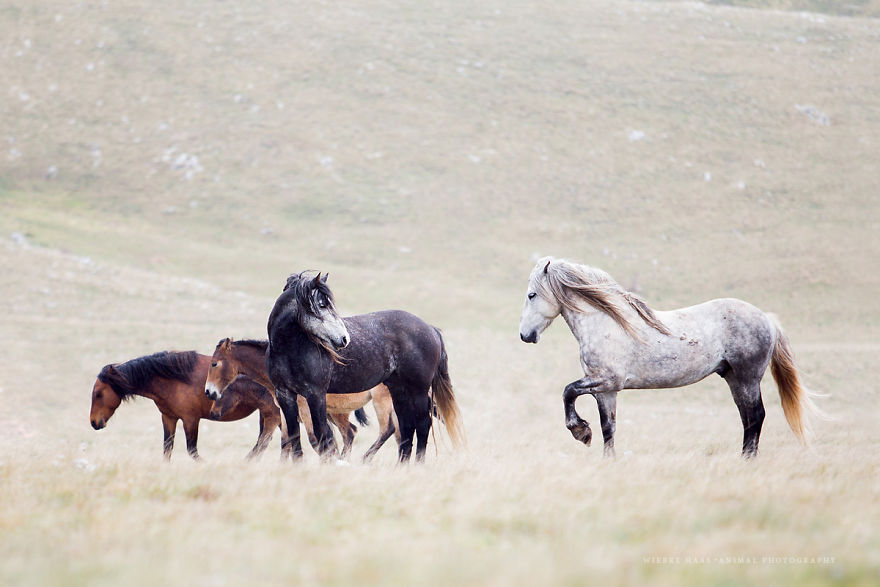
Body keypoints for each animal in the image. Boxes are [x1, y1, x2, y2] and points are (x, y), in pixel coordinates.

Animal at [89, 350, 283, 460]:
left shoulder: (190, 420)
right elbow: (167, 449)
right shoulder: (169, 418)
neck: (173, 379)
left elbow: (192, 451)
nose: (94, 422)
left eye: (98, 394)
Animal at [206, 338, 401, 461]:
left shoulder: (304, 410)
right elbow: (287, 440)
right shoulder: (285, 412)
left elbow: (314, 440)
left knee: (387, 430)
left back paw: (365, 459)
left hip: (380, 403)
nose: (209, 392)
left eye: (214, 363)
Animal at [265, 272, 465, 462]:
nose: (344, 339)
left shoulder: (315, 394)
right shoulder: (285, 394)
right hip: (399, 390)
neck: (288, 349)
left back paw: (417, 464)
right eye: (322, 305)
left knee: (423, 424)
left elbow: (323, 435)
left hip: (418, 390)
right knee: (407, 426)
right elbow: (293, 435)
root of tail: (431, 329)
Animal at [518, 256, 823, 458]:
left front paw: (580, 431)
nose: (525, 335)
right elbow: (608, 428)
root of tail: (768, 319)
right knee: (748, 418)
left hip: (748, 378)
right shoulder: (606, 390)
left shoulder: (605, 380)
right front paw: (607, 459)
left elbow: (568, 391)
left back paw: (747, 460)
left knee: (756, 416)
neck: (606, 322)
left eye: (532, 295)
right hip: (734, 379)